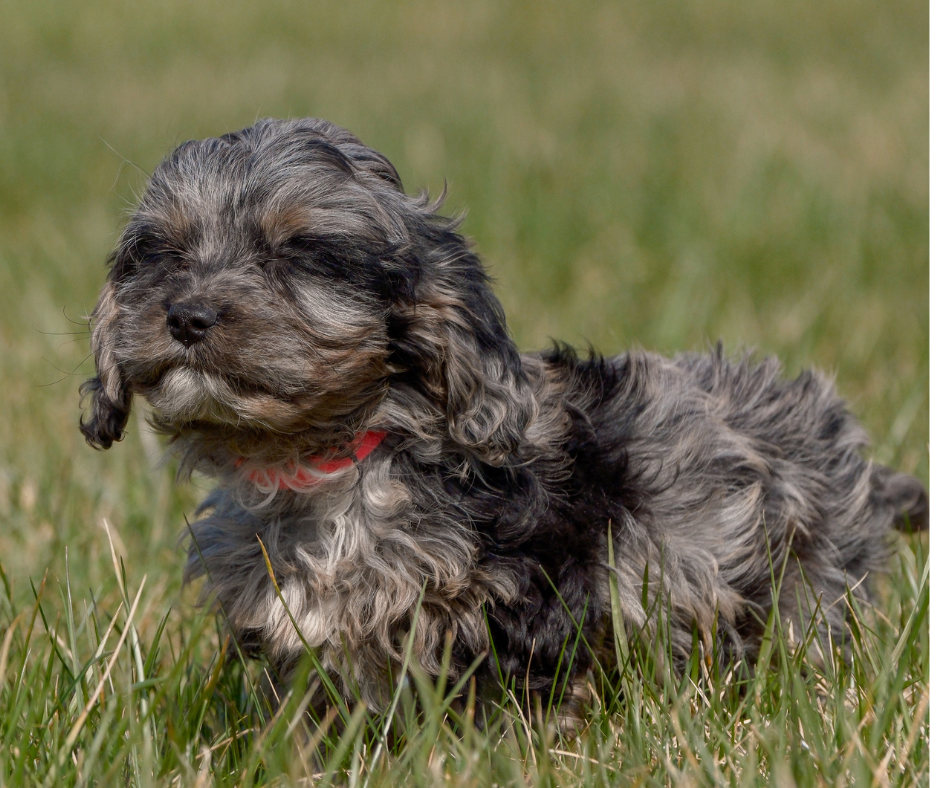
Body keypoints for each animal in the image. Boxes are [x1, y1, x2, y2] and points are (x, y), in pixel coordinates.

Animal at [82, 118, 924, 720]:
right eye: (161, 253)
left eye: (297, 251)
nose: (186, 315)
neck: (330, 465)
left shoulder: (526, 608)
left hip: (802, 581)